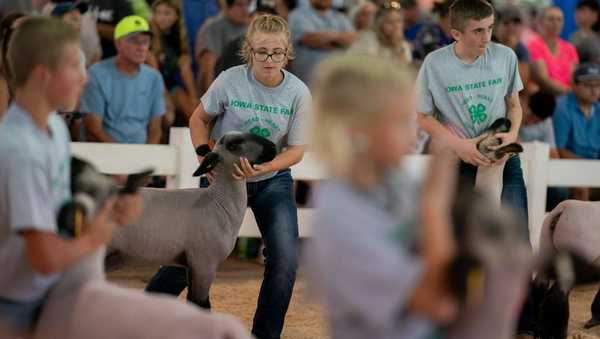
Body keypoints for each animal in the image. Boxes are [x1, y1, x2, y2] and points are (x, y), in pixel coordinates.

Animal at [105, 131, 276, 310]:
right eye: (233, 146)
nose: (273, 147)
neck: (219, 202)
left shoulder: (192, 266)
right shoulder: (204, 263)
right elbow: (201, 304)